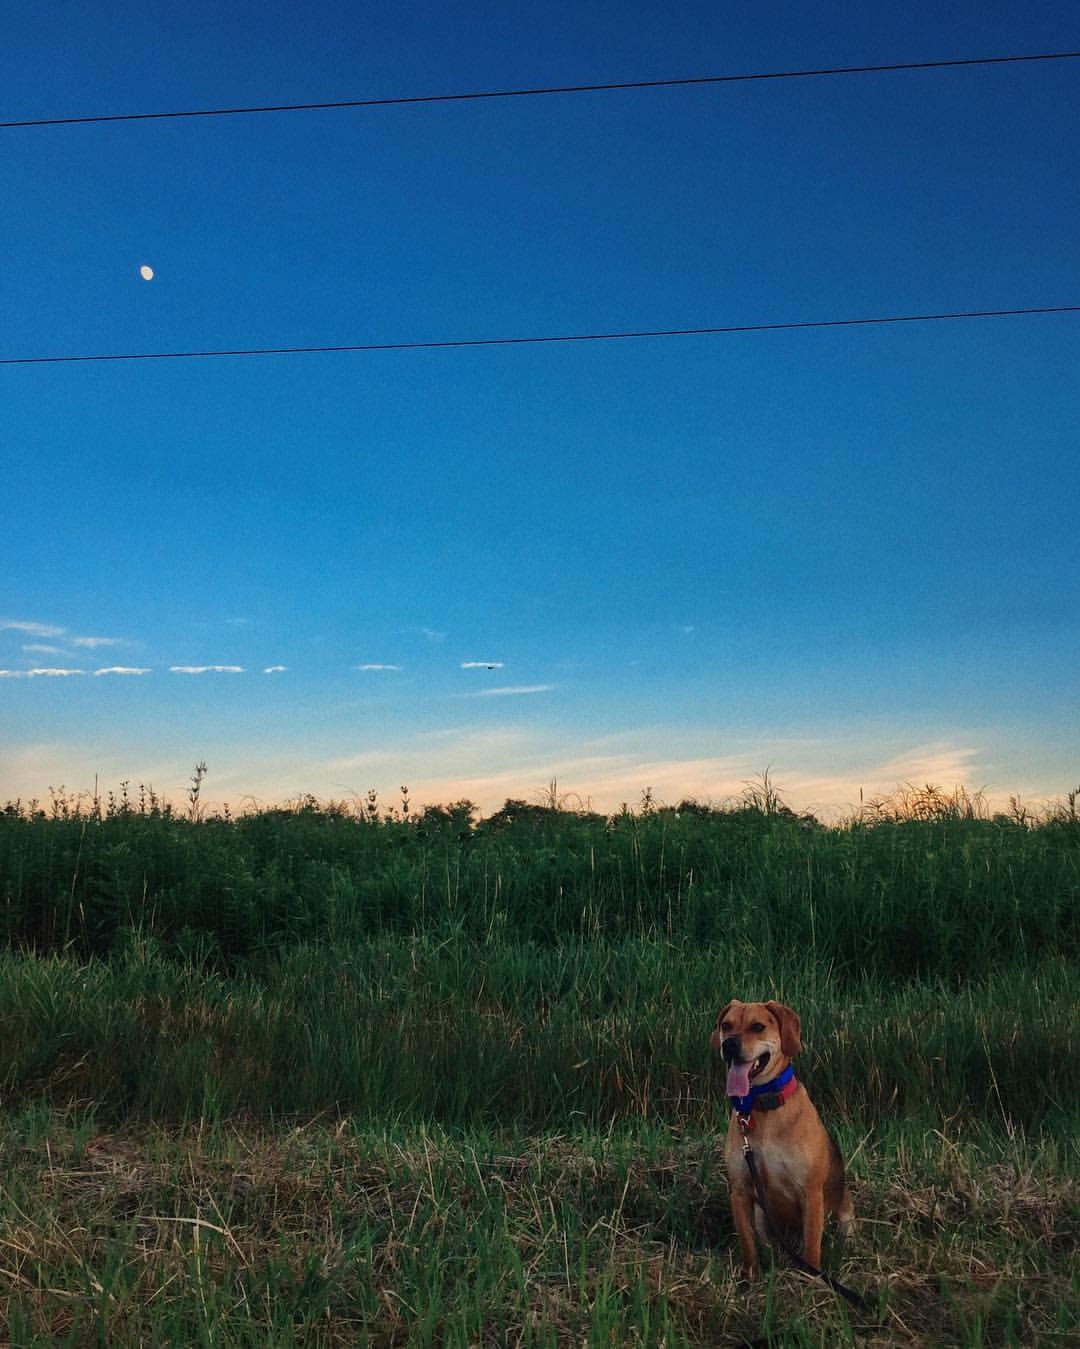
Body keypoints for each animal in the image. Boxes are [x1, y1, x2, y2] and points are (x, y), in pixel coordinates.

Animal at [706, 1003, 852, 1273]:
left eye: (758, 1026)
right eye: (726, 1025)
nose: (729, 1044)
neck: (763, 1107)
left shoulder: (810, 1191)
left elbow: (812, 1245)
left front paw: (811, 1277)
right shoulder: (740, 1191)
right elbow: (747, 1242)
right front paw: (750, 1275)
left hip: (845, 1205)